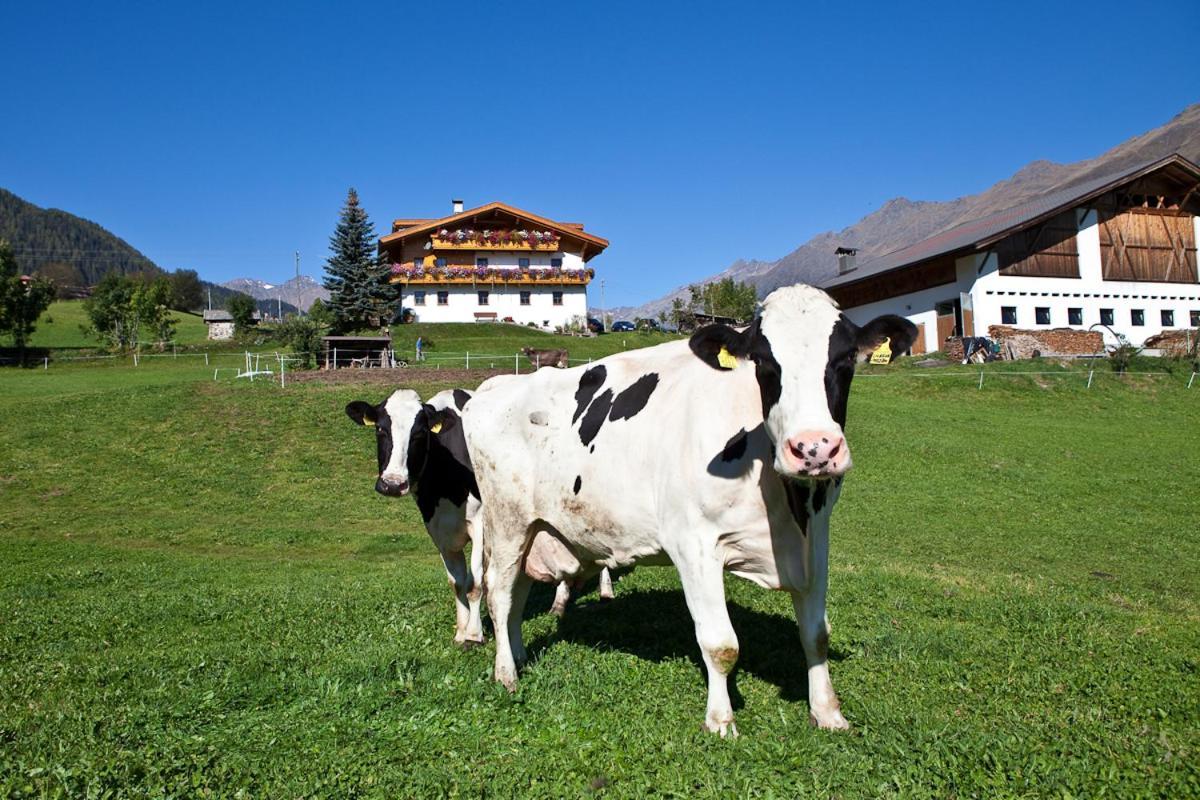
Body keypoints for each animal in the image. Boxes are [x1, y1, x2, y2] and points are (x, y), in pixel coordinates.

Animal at [343, 388, 487, 652]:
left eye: (419, 433)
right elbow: (457, 582)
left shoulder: (481, 523)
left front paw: (474, 635)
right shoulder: (437, 529)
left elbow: (475, 583)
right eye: (380, 429)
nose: (392, 484)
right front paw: (461, 633)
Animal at [463, 286, 912, 738]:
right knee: (499, 592)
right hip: (507, 521)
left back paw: (518, 653)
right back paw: (506, 673)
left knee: (518, 592)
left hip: (534, 528)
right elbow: (721, 644)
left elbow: (816, 634)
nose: (814, 449)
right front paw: (720, 720)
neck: (787, 504)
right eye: (765, 363)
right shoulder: (694, 544)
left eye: (844, 359)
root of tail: (494, 387)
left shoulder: (816, 538)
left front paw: (828, 712)